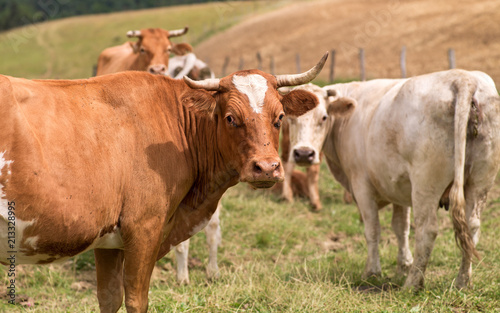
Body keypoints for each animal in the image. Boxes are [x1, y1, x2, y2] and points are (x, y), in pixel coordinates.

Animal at [0, 52, 328, 310]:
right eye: (230, 118)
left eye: (280, 117)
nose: (267, 168)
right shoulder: (143, 228)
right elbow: (136, 300)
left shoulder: (107, 240)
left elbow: (109, 298)